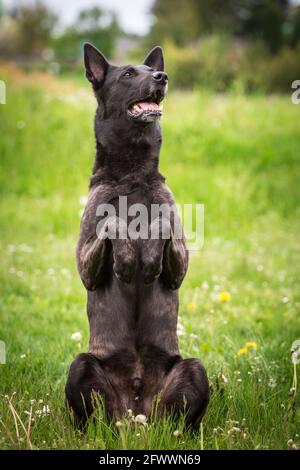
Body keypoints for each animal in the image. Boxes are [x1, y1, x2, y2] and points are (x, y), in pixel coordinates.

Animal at [66, 44, 210, 430]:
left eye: (150, 70)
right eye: (128, 74)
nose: (162, 76)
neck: (132, 174)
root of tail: (135, 411)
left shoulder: (179, 266)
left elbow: (161, 225)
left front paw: (146, 257)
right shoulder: (85, 266)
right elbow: (113, 224)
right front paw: (129, 259)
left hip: (193, 369)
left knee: (180, 422)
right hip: (81, 366)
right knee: (89, 420)